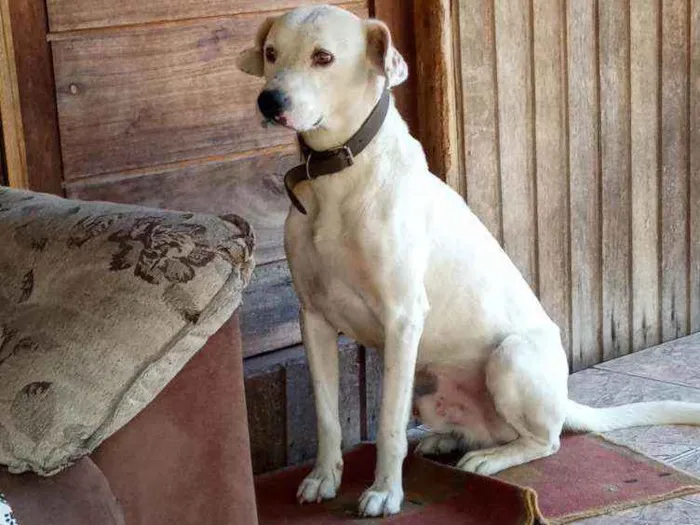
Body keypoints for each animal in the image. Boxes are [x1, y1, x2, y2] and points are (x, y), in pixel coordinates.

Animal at [237, 4, 700, 516]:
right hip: (426, 387)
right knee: (486, 430)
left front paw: (384, 492)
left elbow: (388, 425)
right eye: (271, 52)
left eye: (323, 57)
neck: (337, 178)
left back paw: (489, 460)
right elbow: (326, 417)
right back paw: (447, 441)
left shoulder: (402, 319)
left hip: (511, 357)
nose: (269, 101)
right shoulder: (313, 319)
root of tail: (564, 399)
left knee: (546, 440)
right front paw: (324, 478)